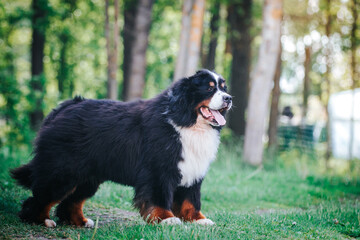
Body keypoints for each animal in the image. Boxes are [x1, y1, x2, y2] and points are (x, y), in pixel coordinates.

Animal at [10, 69, 233, 227]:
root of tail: (68, 105)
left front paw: (198, 220)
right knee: (41, 197)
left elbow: (190, 200)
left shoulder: (193, 169)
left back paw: (80, 222)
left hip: (87, 177)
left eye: (223, 87)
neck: (186, 122)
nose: (229, 98)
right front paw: (166, 219)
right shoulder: (159, 170)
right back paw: (41, 220)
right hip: (63, 170)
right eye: (209, 88)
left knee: (71, 201)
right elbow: (160, 197)